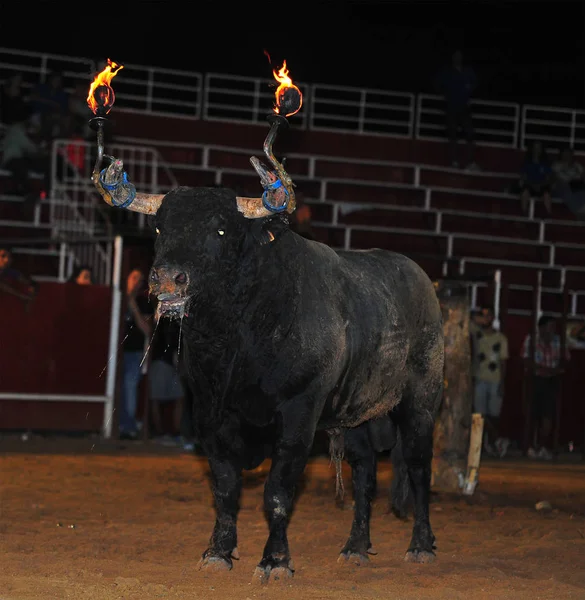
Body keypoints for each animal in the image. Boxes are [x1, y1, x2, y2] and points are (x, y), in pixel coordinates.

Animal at [147, 186, 442, 580]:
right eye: (160, 228)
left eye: (220, 229)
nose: (168, 278)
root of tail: (423, 283)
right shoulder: (208, 415)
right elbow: (225, 487)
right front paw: (217, 553)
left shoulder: (298, 414)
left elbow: (277, 491)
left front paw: (275, 561)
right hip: (354, 417)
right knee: (365, 473)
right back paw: (355, 548)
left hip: (420, 402)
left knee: (418, 466)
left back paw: (421, 546)